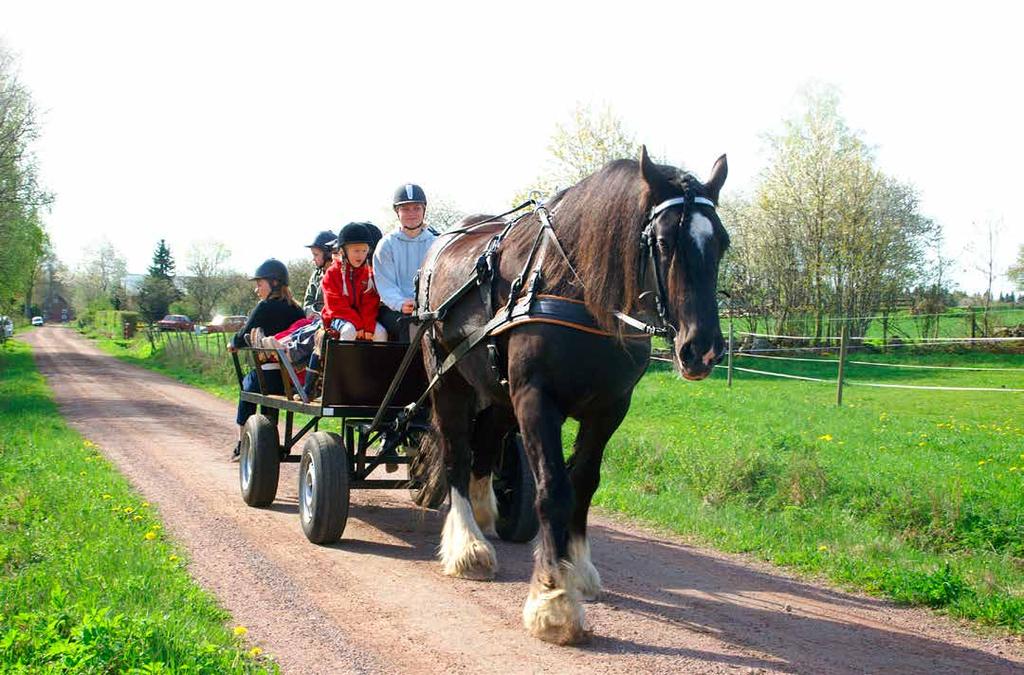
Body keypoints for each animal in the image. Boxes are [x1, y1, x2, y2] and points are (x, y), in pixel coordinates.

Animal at [415, 147, 729, 643]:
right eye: (662, 242)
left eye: (721, 242)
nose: (703, 349)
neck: (576, 288)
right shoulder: (536, 400)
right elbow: (553, 490)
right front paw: (553, 600)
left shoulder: (610, 409)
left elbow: (584, 484)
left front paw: (577, 570)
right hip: (448, 381)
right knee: (456, 455)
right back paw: (468, 547)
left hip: (494, 392)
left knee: (484, 448)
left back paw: (484, 517)